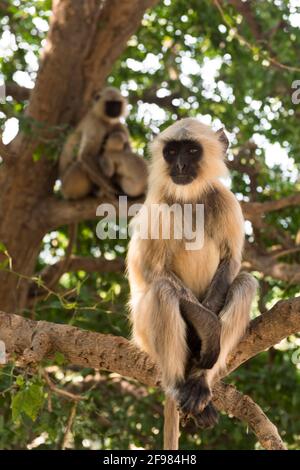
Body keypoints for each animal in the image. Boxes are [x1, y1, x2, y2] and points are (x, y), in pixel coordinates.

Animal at [126, 116, 258, 448]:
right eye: (172, 151)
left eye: (192, 151)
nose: (181, 166)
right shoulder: (158, 202)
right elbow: (149, 270)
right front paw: (208, 325)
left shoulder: (223, 199)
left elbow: (231, 262)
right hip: (142, 334)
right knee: (162, 291)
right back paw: (176, 385)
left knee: (245, 282)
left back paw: (199, 382)